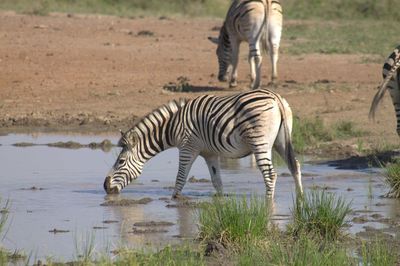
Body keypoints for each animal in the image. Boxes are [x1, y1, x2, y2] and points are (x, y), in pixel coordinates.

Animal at [103, 89, 304, 200]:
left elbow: (180, 178)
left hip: (259, 142)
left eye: (120, 161)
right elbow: (217, 181)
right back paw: (301, 199)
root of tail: (275, 97)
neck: (173, 126)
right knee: (294, 166)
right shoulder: (210, 153)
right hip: (281, 141)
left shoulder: (187, 148)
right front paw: (221, 202)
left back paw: (268, 204)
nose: (105, 186)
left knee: (270, 174)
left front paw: (175, 200)